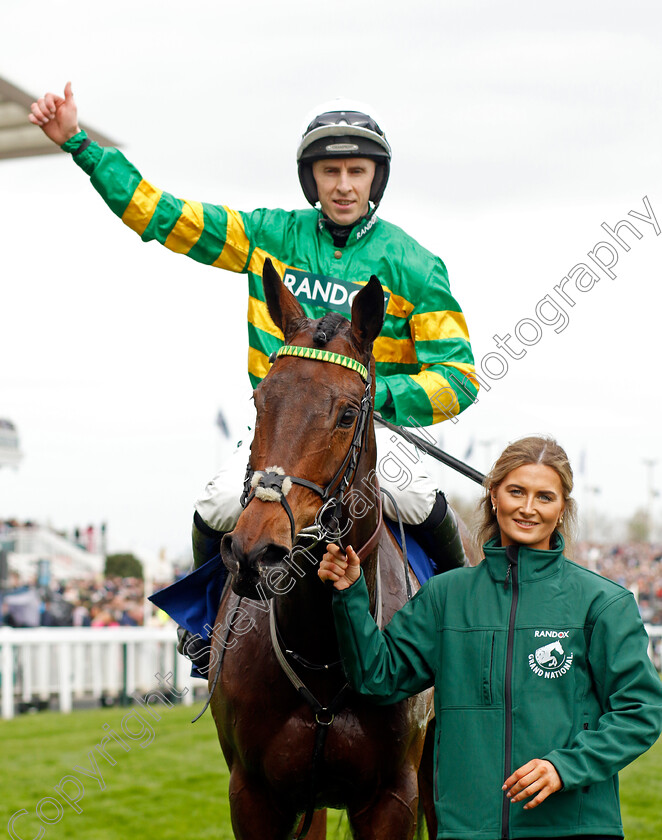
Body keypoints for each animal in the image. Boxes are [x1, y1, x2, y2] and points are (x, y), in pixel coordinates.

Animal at [213, 260, 440, 836]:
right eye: (260, 401)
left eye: (347, 414)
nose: (255, 553)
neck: (321, 652)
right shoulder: (253, 794)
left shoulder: (394, 795)